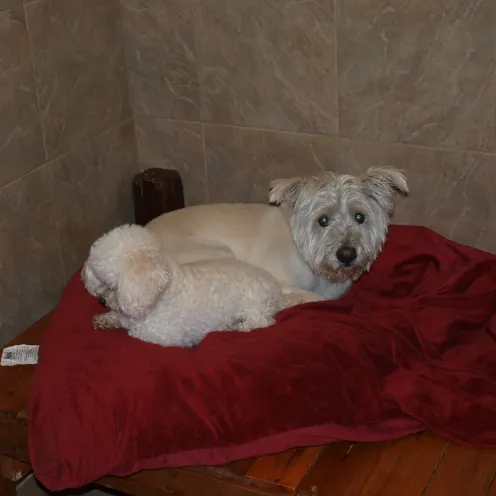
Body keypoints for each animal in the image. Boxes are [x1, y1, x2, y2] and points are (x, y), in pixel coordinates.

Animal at [81, 223, 320, 346]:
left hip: (254, 306)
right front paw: (105, 319)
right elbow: (118, 318)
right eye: (99, 280)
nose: (100, 300)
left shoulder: (163, 336)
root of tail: (278, 292)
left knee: (262, 322)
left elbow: (134, 332)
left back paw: (235, 327)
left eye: (111, 284)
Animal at [145, 168, 408, 298]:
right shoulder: (278, 280)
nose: (346, 254)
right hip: (220, 255)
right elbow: (312, 298)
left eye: (360, 217)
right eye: (322, 220)